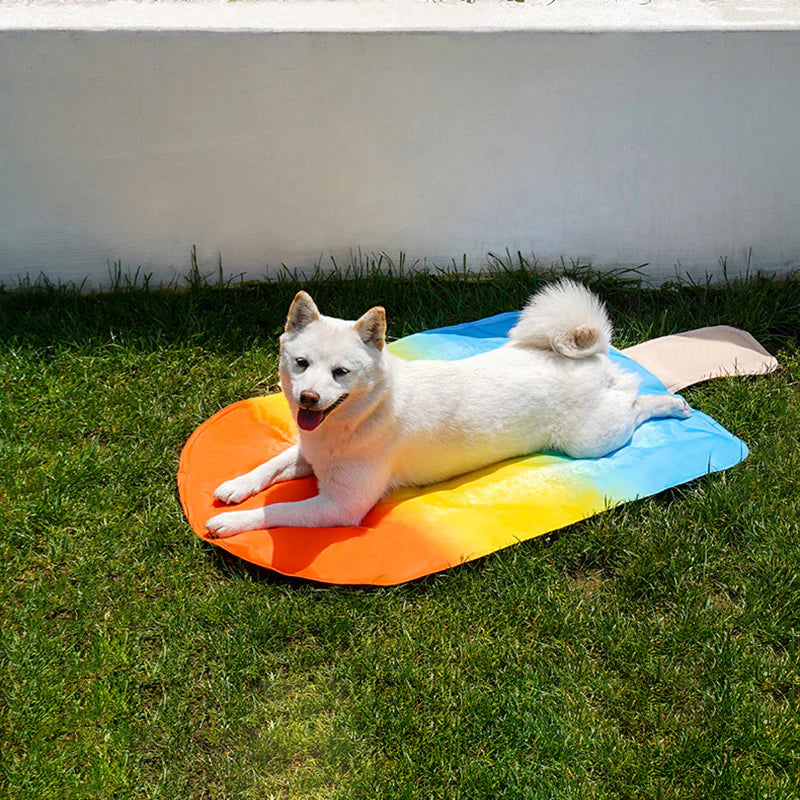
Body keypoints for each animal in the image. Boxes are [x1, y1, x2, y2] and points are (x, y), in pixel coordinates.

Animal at [205, 280, 688, 536]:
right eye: (301, 363)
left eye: (341, 372)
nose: (308, 398)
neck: (353, 419)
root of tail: (592, 354)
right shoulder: (309, 453)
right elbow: (270, 464)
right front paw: (237, 485)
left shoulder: (340, 506)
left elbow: (279, 511)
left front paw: (236, 521)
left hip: (591, 440)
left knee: (634, 401)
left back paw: (672, 403)